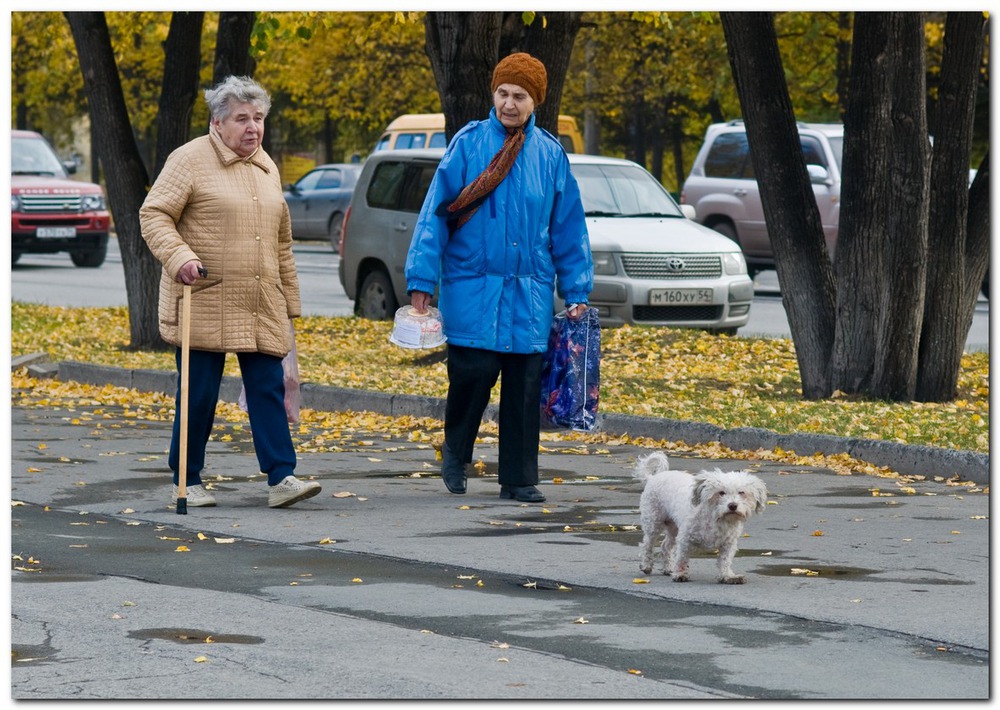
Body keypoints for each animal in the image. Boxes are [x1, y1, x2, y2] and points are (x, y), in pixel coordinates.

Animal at [636, 454, 768, 588]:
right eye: (721, 492)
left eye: (741, 492)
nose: (732, 505)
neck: (716, 518)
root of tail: (654, 477)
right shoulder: (685, 539)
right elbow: (682, 558)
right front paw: (680, 574)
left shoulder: (728, 544)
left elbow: (725, 561)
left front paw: (727, 576)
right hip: (654, 523)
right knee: (647, 544)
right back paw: (646, 565)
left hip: (673, 528)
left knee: (665, 546)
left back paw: (668, 568)